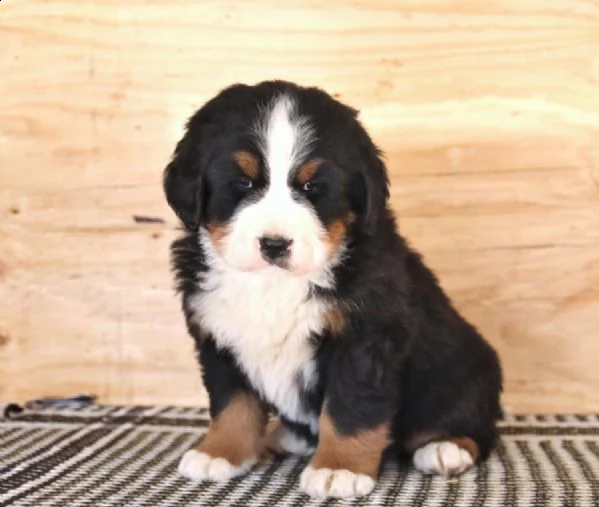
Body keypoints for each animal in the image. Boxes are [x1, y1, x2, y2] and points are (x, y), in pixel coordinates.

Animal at [163, 80, 502, 500]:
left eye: (312, 186)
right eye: (243, 182)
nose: (274, 245)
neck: (273, 285)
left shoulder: (364, 340)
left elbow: (349, 409)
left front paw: (339, 468)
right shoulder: (218, 334)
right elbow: (231, 404)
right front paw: (220, 453)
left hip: (461, 370)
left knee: (474, 428)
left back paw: (445, 448)